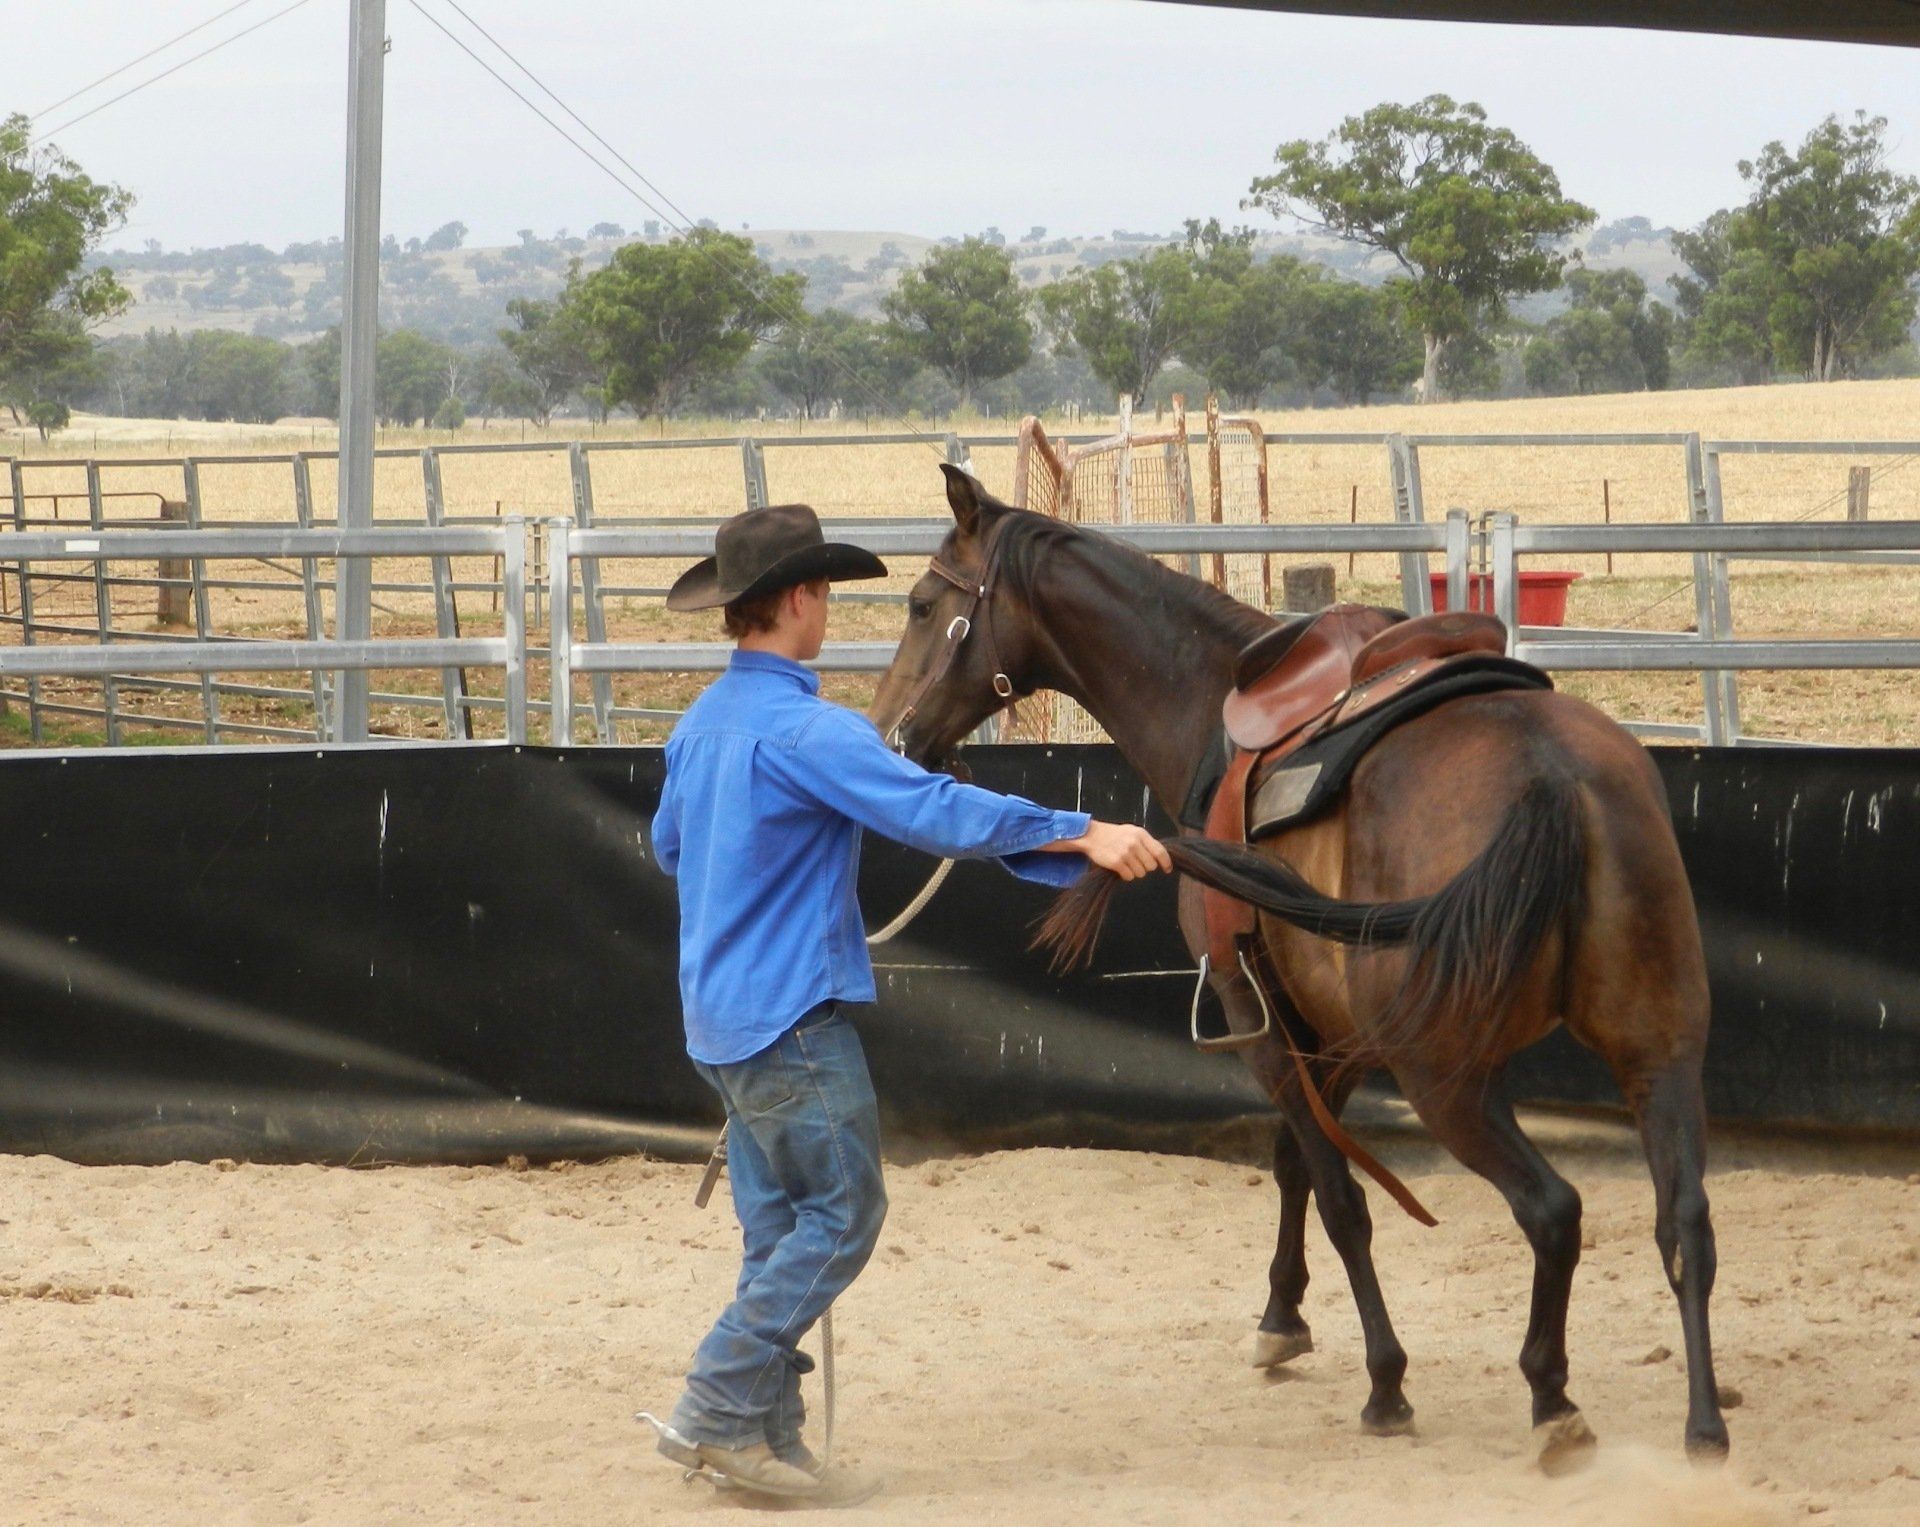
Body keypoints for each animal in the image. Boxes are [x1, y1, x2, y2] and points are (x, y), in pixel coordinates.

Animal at [868, 465, 1728, 1462]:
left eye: (923, 605)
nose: (890, 737)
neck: (1207, 706)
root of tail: (1553, 773)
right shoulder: (1328, 1032)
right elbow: (1294, 1165)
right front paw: (1282, 1319)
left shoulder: (1258, 1020)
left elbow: (1341, 1195)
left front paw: (1385, 1383)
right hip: (1659, 1053)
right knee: (1685, 1221)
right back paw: (1704, 1424)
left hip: (1451, 1080)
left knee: (1552, 1210)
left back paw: (1551, 1396)